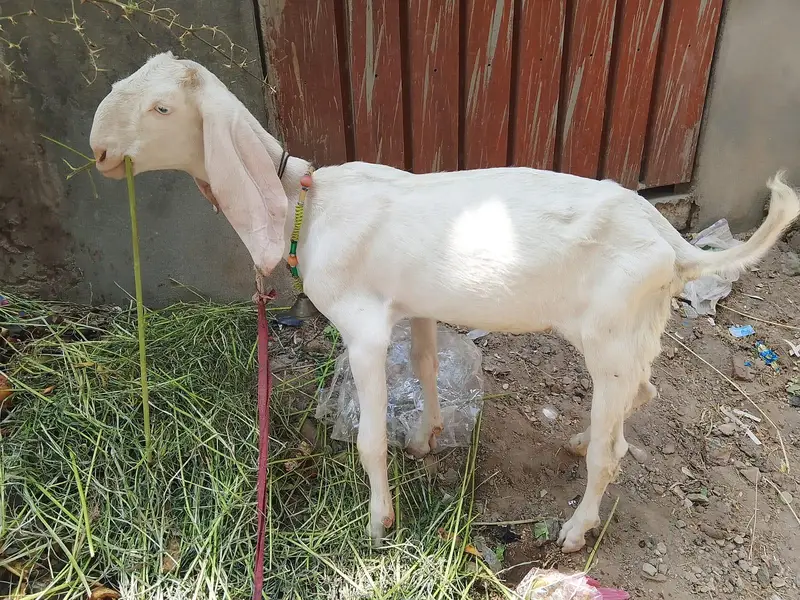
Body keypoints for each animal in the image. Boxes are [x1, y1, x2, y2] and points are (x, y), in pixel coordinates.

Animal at [89, 52, 800, 553]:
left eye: (160, 109)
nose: (98, 151)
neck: (304, 203)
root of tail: (673, 245)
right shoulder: (414, 303)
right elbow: (428, 364)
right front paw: (429, 437)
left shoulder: (363, 326)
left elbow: (370, 437)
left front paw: (379, 524)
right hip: (636, 327)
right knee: (641, 393)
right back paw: (580, 438)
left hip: (609, 331)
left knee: (615, 446)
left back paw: (577, 527)